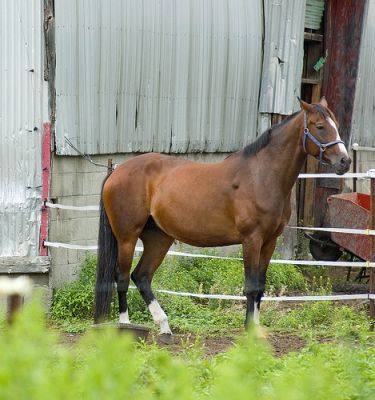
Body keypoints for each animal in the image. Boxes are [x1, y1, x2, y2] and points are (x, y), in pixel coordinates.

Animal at [94, 97, 352, 334]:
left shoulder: (269, 241)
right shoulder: (251, 240)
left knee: (142, 276)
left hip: (159, 238)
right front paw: (249, 332)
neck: (261, 176)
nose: (345, 161)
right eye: (320, 126)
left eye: (336, 124)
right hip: (127, 237)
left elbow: (260, 286)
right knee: (122, 278)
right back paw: (125, 327)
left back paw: (164, 326)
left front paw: (257, 330)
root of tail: (118, 171)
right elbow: (250, 286)